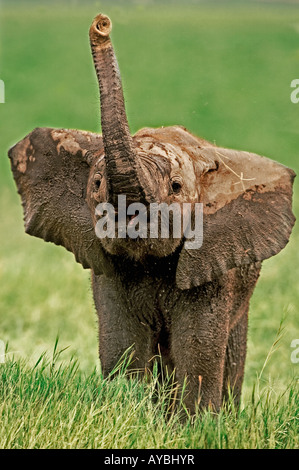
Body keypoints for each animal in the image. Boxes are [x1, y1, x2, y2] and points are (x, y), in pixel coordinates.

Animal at [8, 13, 296, 412]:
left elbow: (198, 346)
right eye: (96, 184)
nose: (101, 23)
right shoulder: (110, 269)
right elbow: (123, 341)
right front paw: (126, 408)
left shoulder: (211, 260)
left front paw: (195, 421)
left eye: (175, 187)